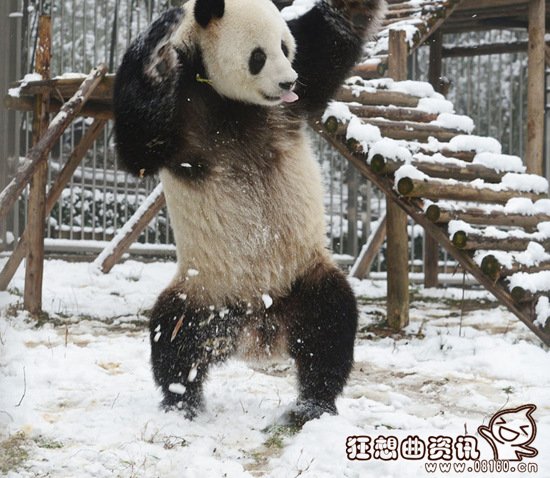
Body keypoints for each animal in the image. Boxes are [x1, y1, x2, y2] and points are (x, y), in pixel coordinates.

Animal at [114, 0, 386, 426]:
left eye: (285, 48)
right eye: (259, 56)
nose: (289, 82)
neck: (235, 103)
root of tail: (258, 328)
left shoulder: (300, 89)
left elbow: (337, 29)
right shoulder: (183, 114)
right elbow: (139, 144)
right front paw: (159, 49)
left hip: (303, 275)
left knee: (330, 327)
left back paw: (313, 405)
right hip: (204, 290)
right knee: (174, 338)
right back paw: (183, 403)